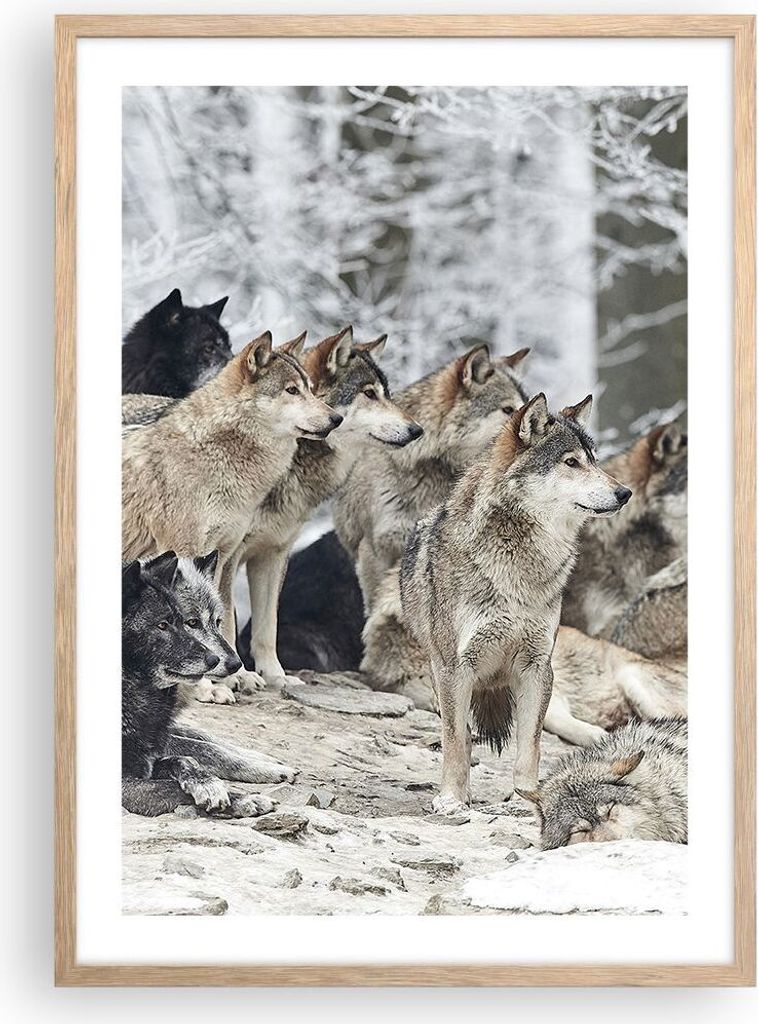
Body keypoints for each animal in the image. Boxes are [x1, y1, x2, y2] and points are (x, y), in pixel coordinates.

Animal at [121, 552, 292, 818]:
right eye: (192, 622)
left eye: (217, 621)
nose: (235, 663)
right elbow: (204, 753)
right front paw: (245, 792)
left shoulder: (161, 733)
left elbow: (205, 740)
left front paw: (264, 760)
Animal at [122, 331, 339, 696]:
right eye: (291, 390)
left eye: (310, 388)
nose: (337, 418)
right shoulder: (185, 552)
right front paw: (205, 687)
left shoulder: (224, 555)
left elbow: (224, 620)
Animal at [233, 326, 422, 692]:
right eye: (369, 394)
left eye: (387, 394)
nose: (417, 430)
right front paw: (236, 676)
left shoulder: (274, 553)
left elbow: (266, 627)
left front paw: (275, 676)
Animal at [400, 393, 632, 814]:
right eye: (571, 462)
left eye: (594, 460)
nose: (624, 493)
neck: (519, 565)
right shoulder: (455, 668)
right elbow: (455, 742)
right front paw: (452, 799)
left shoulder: (538, 667)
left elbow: (530, 746)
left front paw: (525, 798)